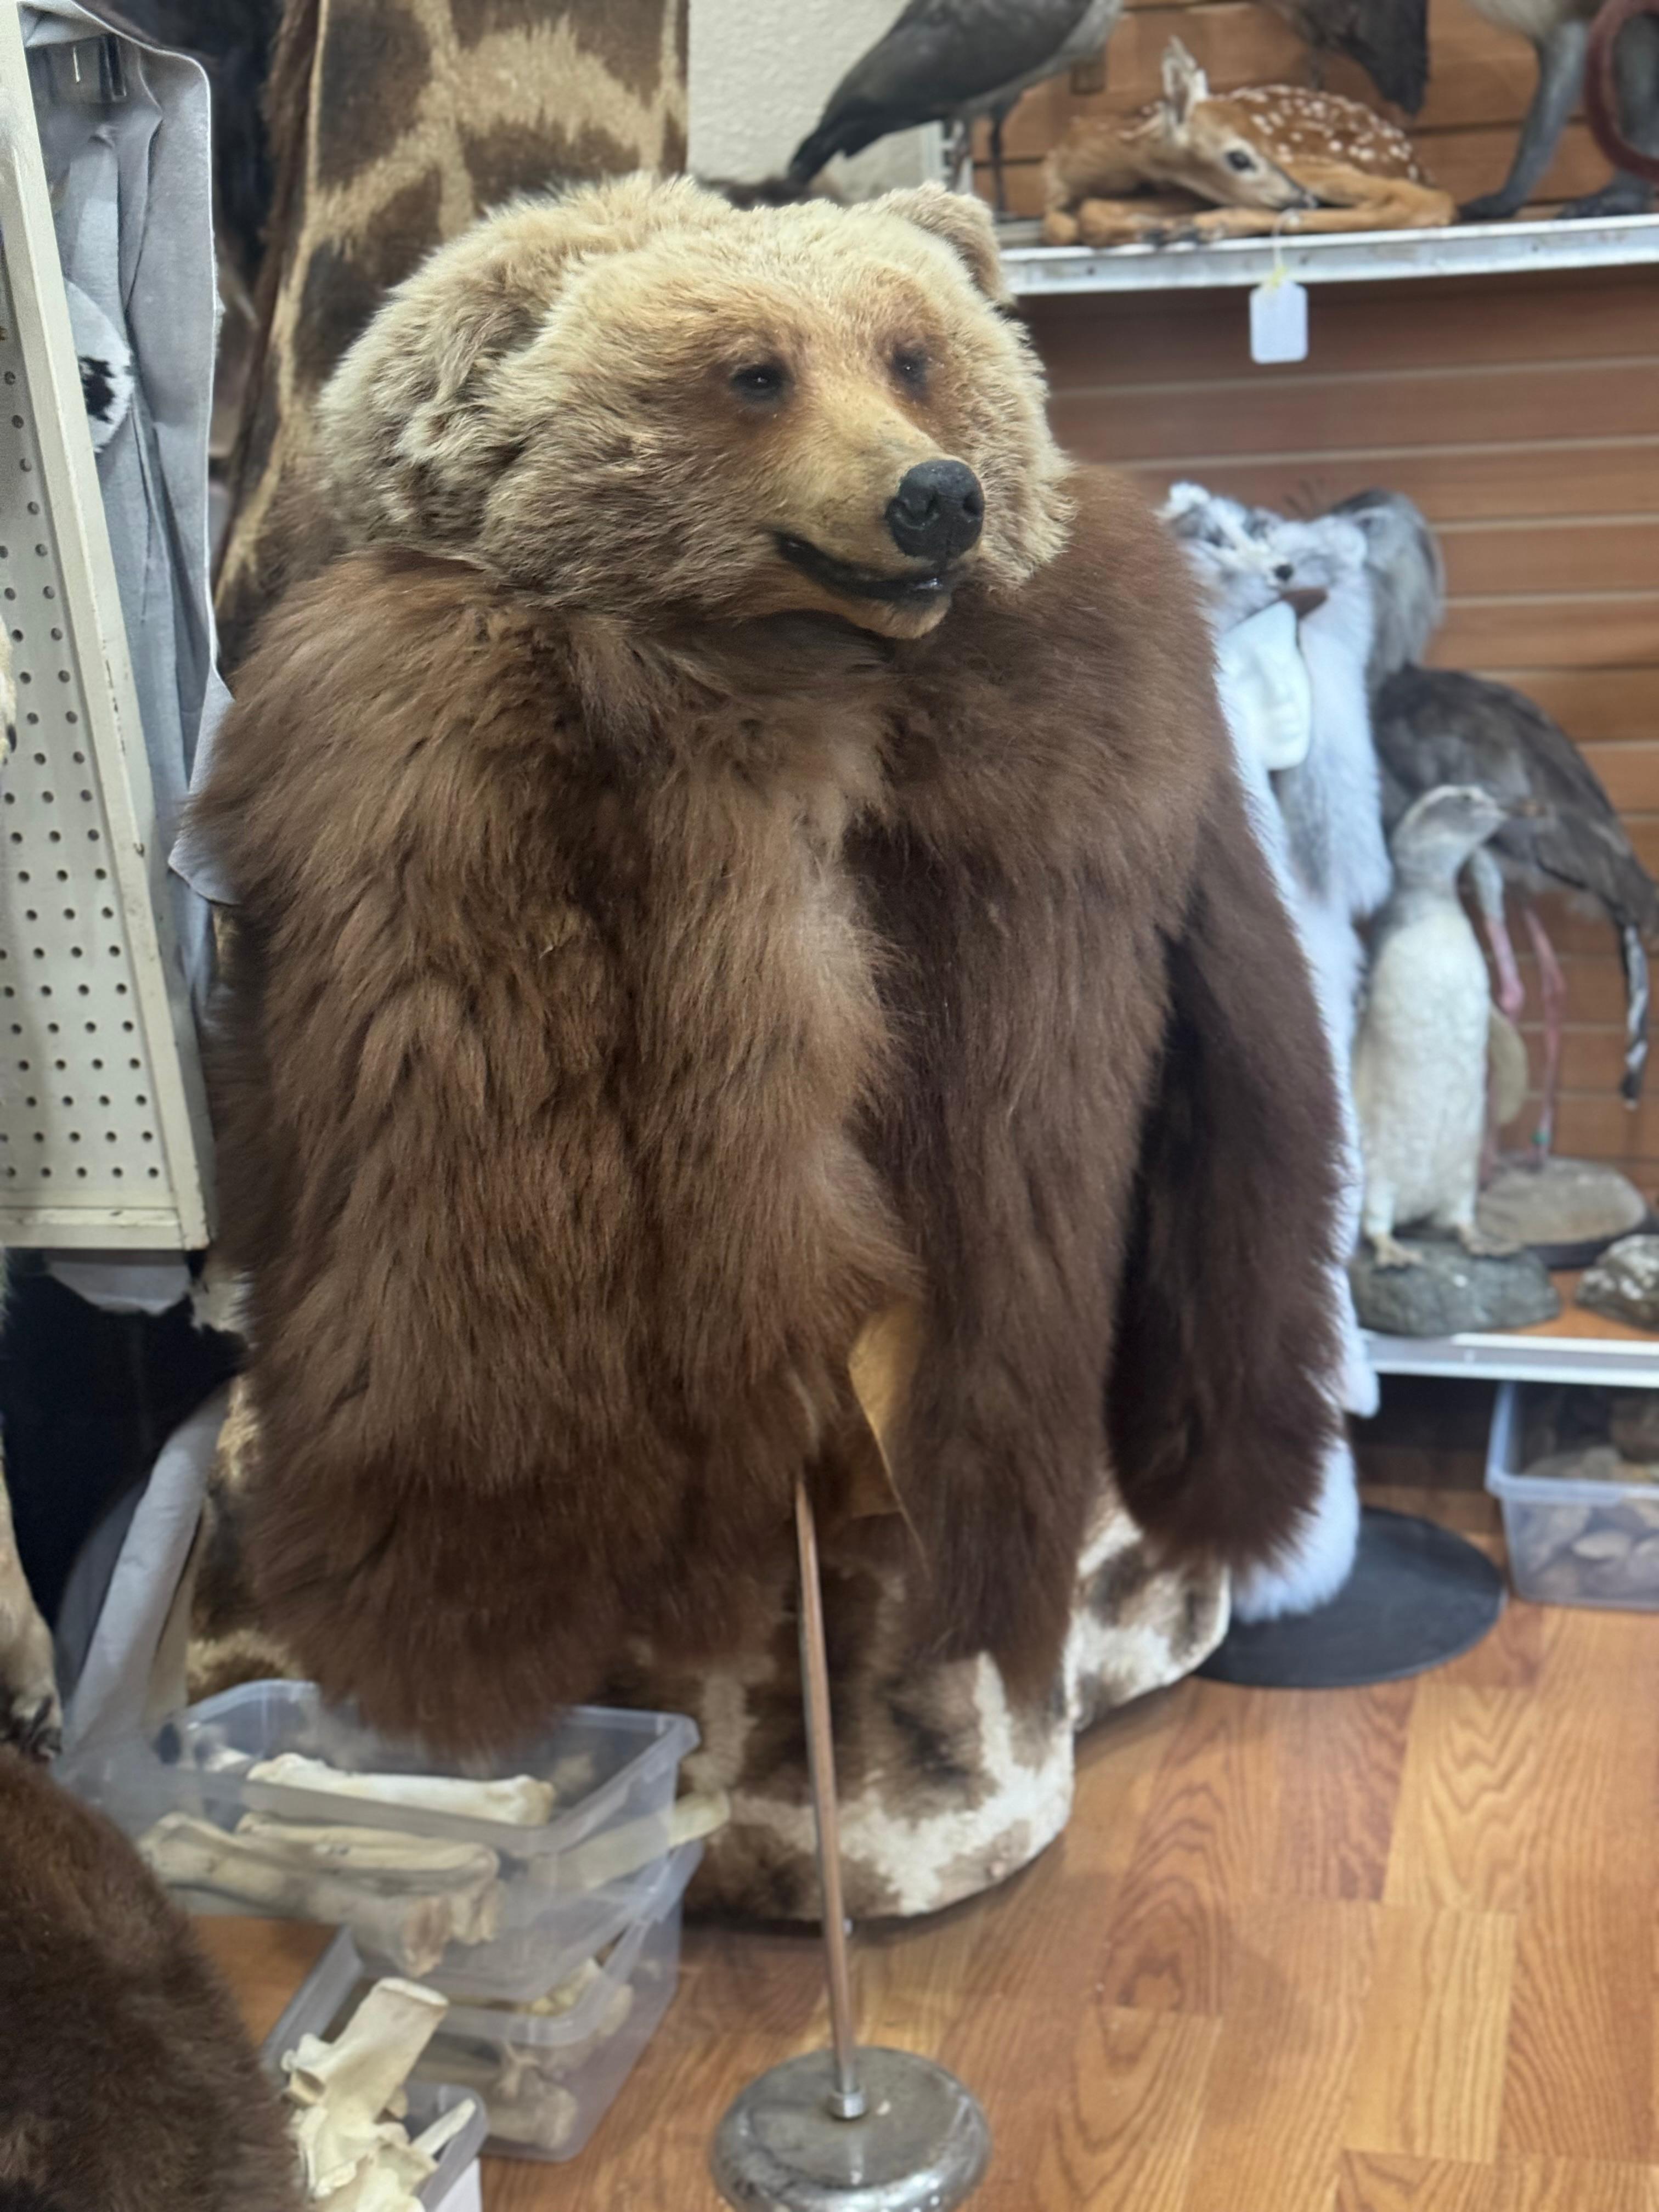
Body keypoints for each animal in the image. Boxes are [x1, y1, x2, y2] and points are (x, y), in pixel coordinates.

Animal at [192, 175, 1342, 1752]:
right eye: (752, 373)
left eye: (913, 355)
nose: (940, 494)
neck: (815, 669)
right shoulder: (424, 778)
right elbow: (468, 1189)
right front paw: (460, 1626)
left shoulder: (1142, 747)